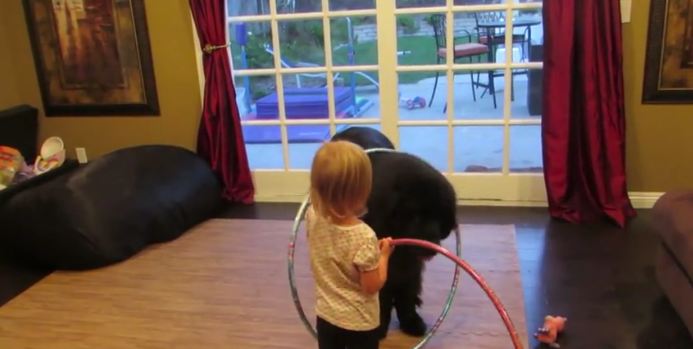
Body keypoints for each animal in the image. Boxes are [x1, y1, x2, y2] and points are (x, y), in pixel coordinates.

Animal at [332, 126, 456, 336]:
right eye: (415, 215)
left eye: (439, 215)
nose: (431, 244)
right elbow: (382, 295)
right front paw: (379, 326)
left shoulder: (411, 265)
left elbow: (407, 291)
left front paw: (411, 320)